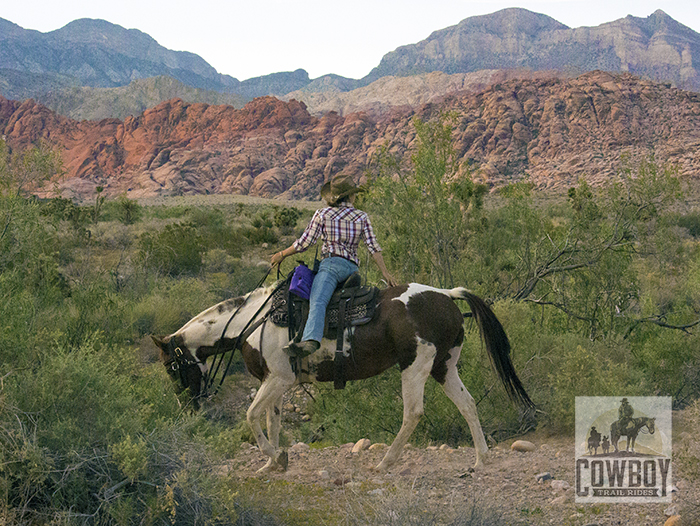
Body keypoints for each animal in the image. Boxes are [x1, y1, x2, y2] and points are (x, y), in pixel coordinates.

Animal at [154, 282, 536, 476]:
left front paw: (275, 458)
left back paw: (385, 462)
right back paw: (481, 459)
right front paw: (271, 463)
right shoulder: (276, 382)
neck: (254, 321)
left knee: (412, 413)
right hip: (444, 365)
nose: (186, 406)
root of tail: (446, 295)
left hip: (415, 365)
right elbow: (272, 421)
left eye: (172, 366)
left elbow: (251, 416)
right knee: (467, 404)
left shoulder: (278, 379)